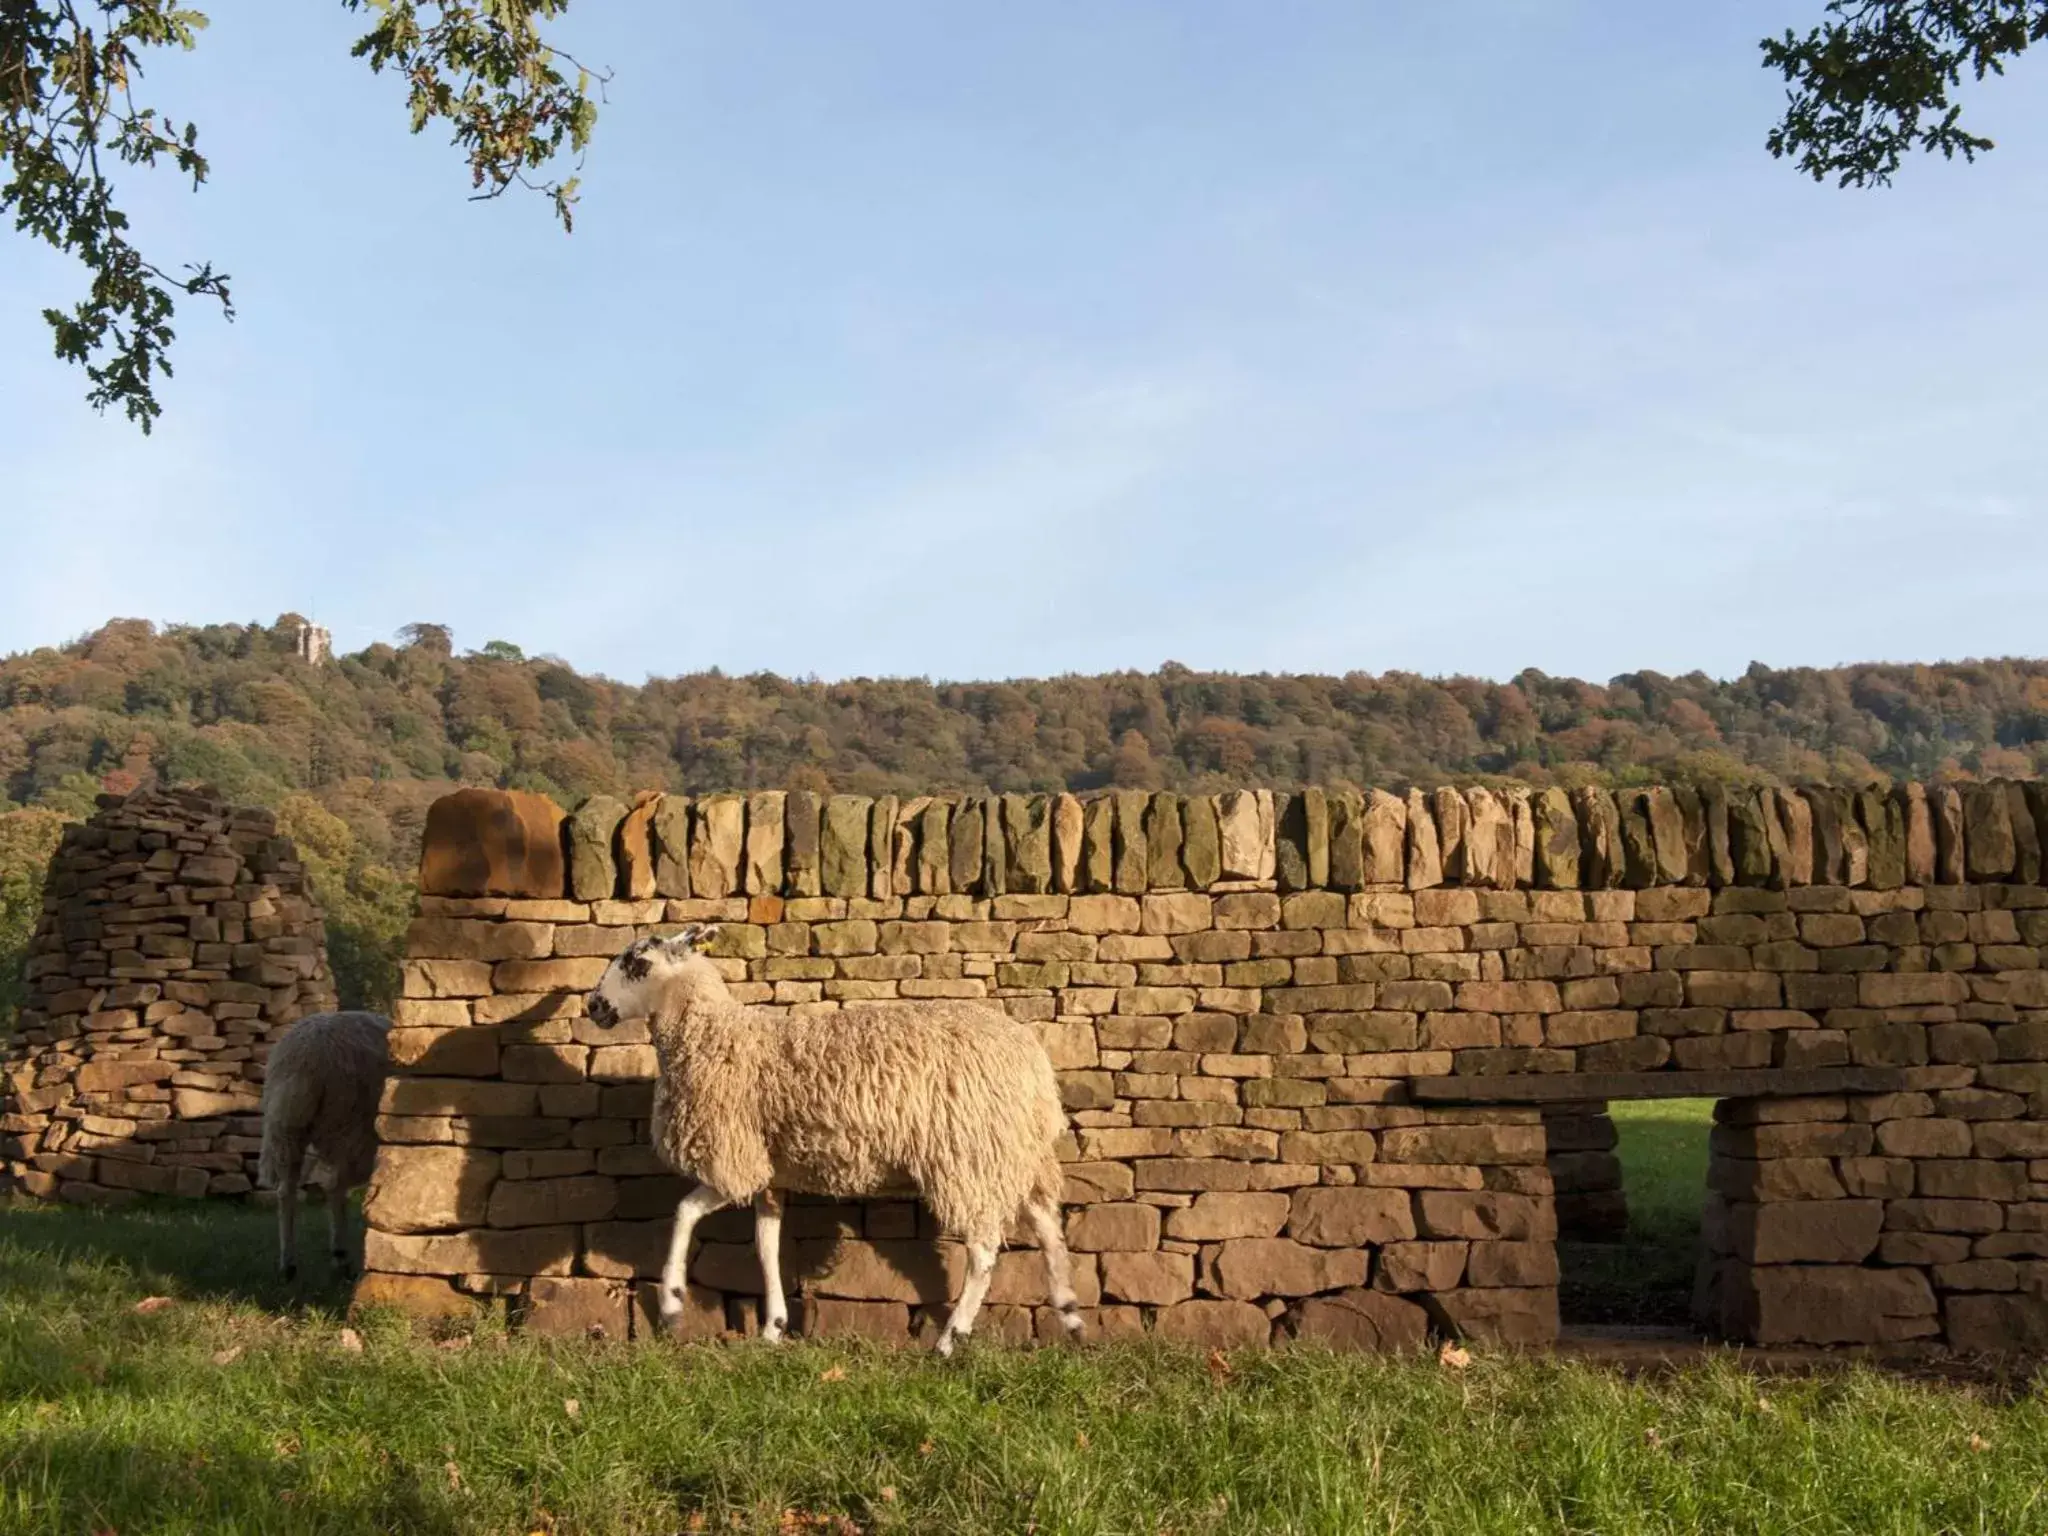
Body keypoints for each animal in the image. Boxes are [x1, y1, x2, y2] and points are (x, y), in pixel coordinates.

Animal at [258, 1011, 389, 1286]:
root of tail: (308, 1056)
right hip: (350, 1126)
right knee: (335, 1187)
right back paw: (340, 1258)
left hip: (285, 1129)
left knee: (286, 1192)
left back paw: (288, 1265)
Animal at [585, 921, 1081, 1351]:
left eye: (637, 961)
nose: (592, 1006)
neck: (712, 1034)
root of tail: (1033, 1061)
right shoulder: (770, 1172)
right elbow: (766, 1246)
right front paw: (773, 1328)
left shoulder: (734, 1159)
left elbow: (684, 1212)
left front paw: (671, 1304)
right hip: (1017, 1152)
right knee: (1047, 1226)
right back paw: (1071, 1315)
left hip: (967, 1155)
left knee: (983, 1251)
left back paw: (949, 1339)